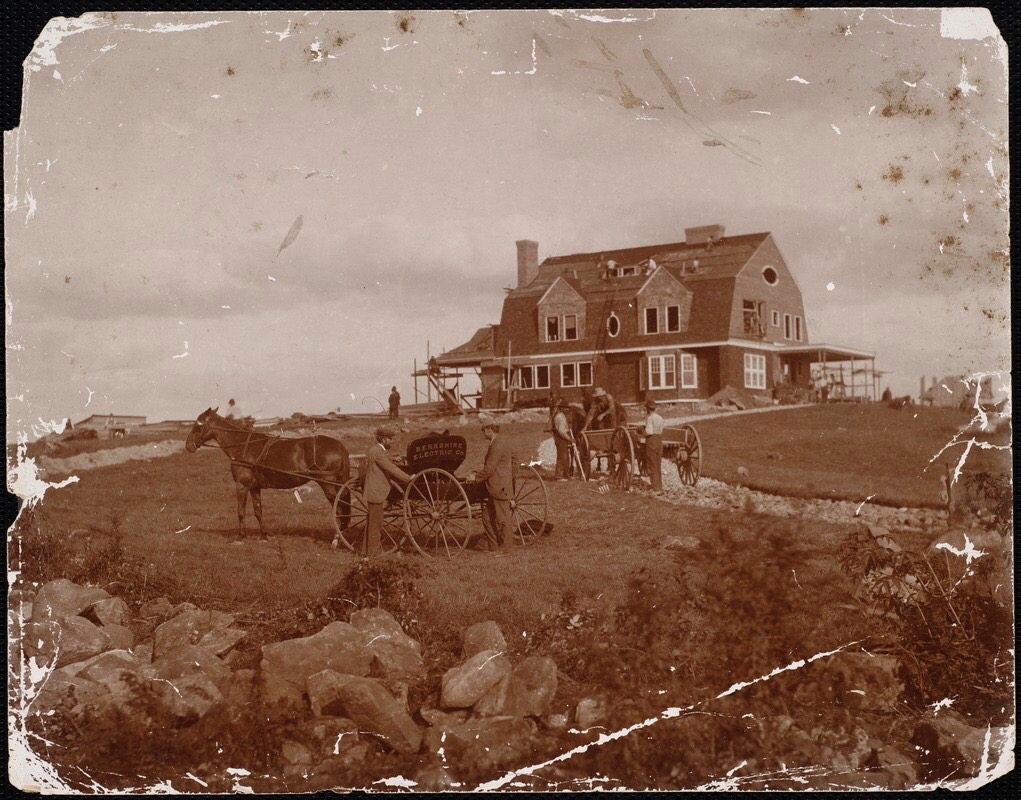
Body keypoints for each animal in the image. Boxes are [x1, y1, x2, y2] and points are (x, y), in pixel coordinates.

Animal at [186, 406, 351, 542]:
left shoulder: (242, 486)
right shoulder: (254, 487)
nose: (188, 446)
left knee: (339, 508)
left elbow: (241, 511)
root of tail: (340, 446)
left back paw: (337, 538)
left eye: (198, 426)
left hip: (328, 484)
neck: (243, 447)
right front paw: (264, 536)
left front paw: (241, 537)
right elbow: (258, 511)